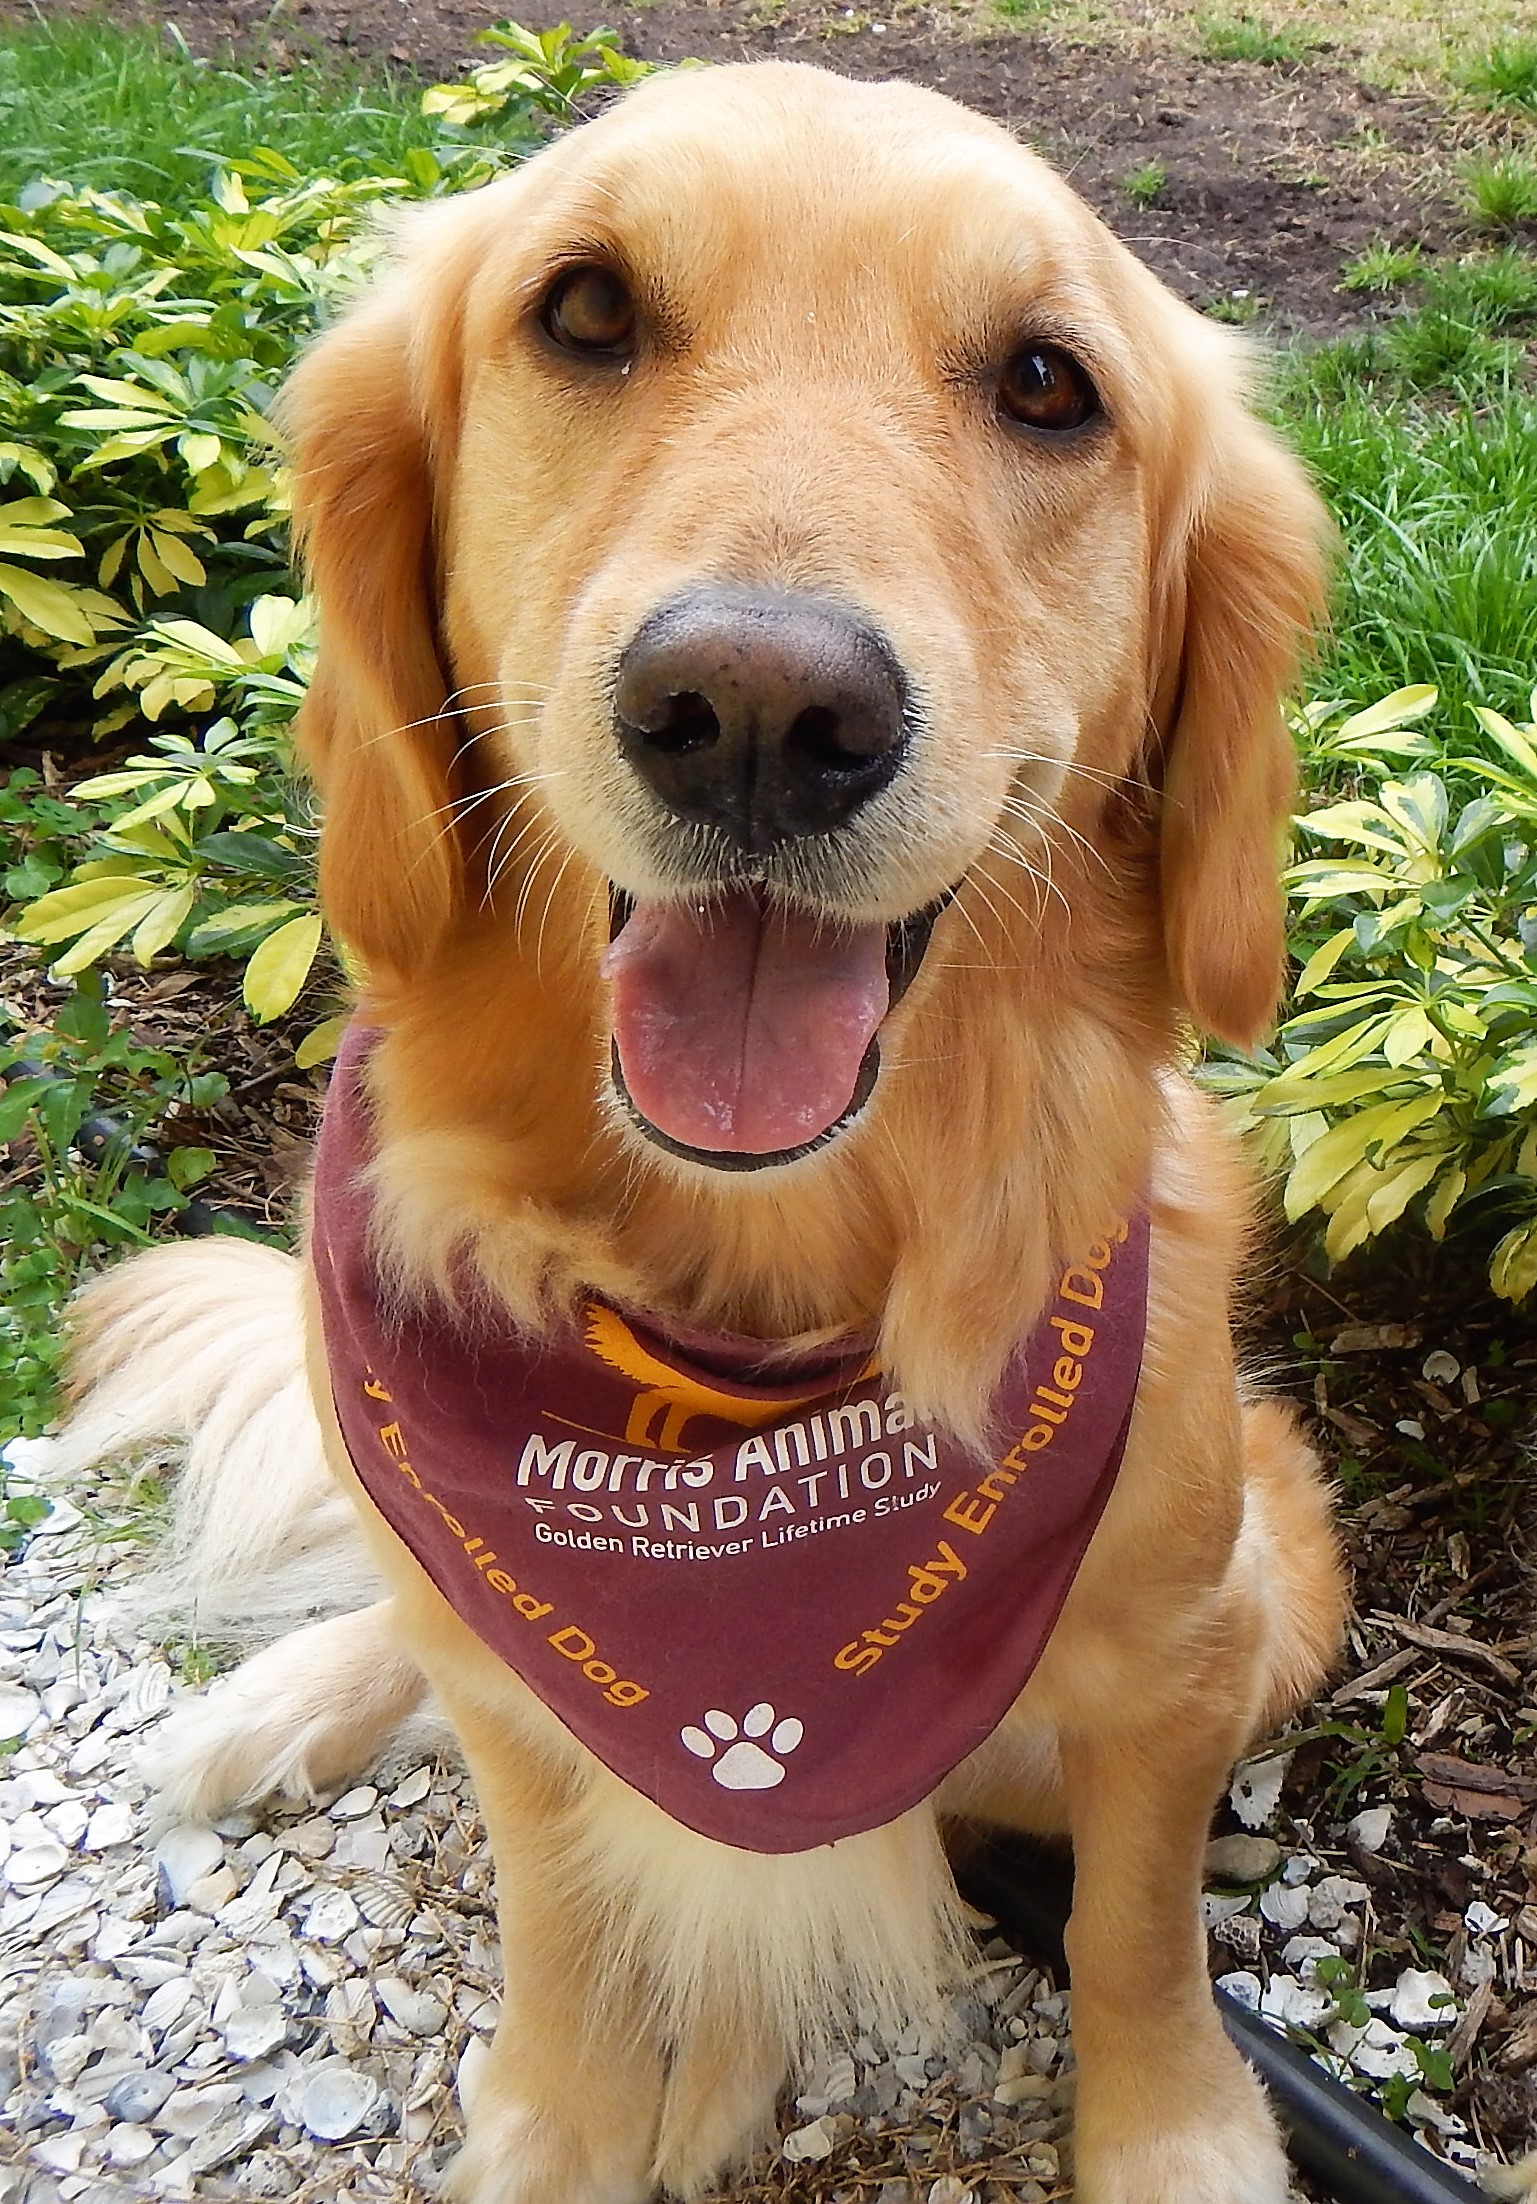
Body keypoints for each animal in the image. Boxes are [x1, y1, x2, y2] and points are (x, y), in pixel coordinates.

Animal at [53, 59, 1345, 2204]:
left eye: (1047, 383)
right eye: (582, 311)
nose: (755, 711)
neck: (746, 1325)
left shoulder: (1181, 1651)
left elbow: (1133, 1931)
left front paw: (1174, 2134)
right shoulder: (534, 1693)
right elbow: (564, 1918)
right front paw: (560, 2120)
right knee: (418, 1622)